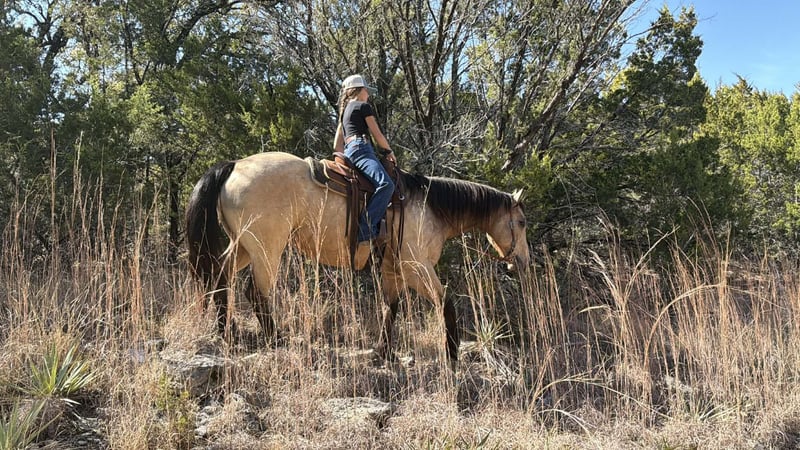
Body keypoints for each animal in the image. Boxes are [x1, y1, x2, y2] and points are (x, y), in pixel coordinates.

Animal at [185, 151, 530, 363]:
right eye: (523, 222)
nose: (522, 262)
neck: (429, 207)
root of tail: (235, 166)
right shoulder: (416, 267)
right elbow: (445, 300)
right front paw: (452, 352)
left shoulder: (392, 268)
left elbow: (391, 307)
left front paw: (385, 352)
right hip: (267, 247)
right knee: (255, 291)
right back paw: (275, 338)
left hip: (243, 245)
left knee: (221, 275)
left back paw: (228, 332)